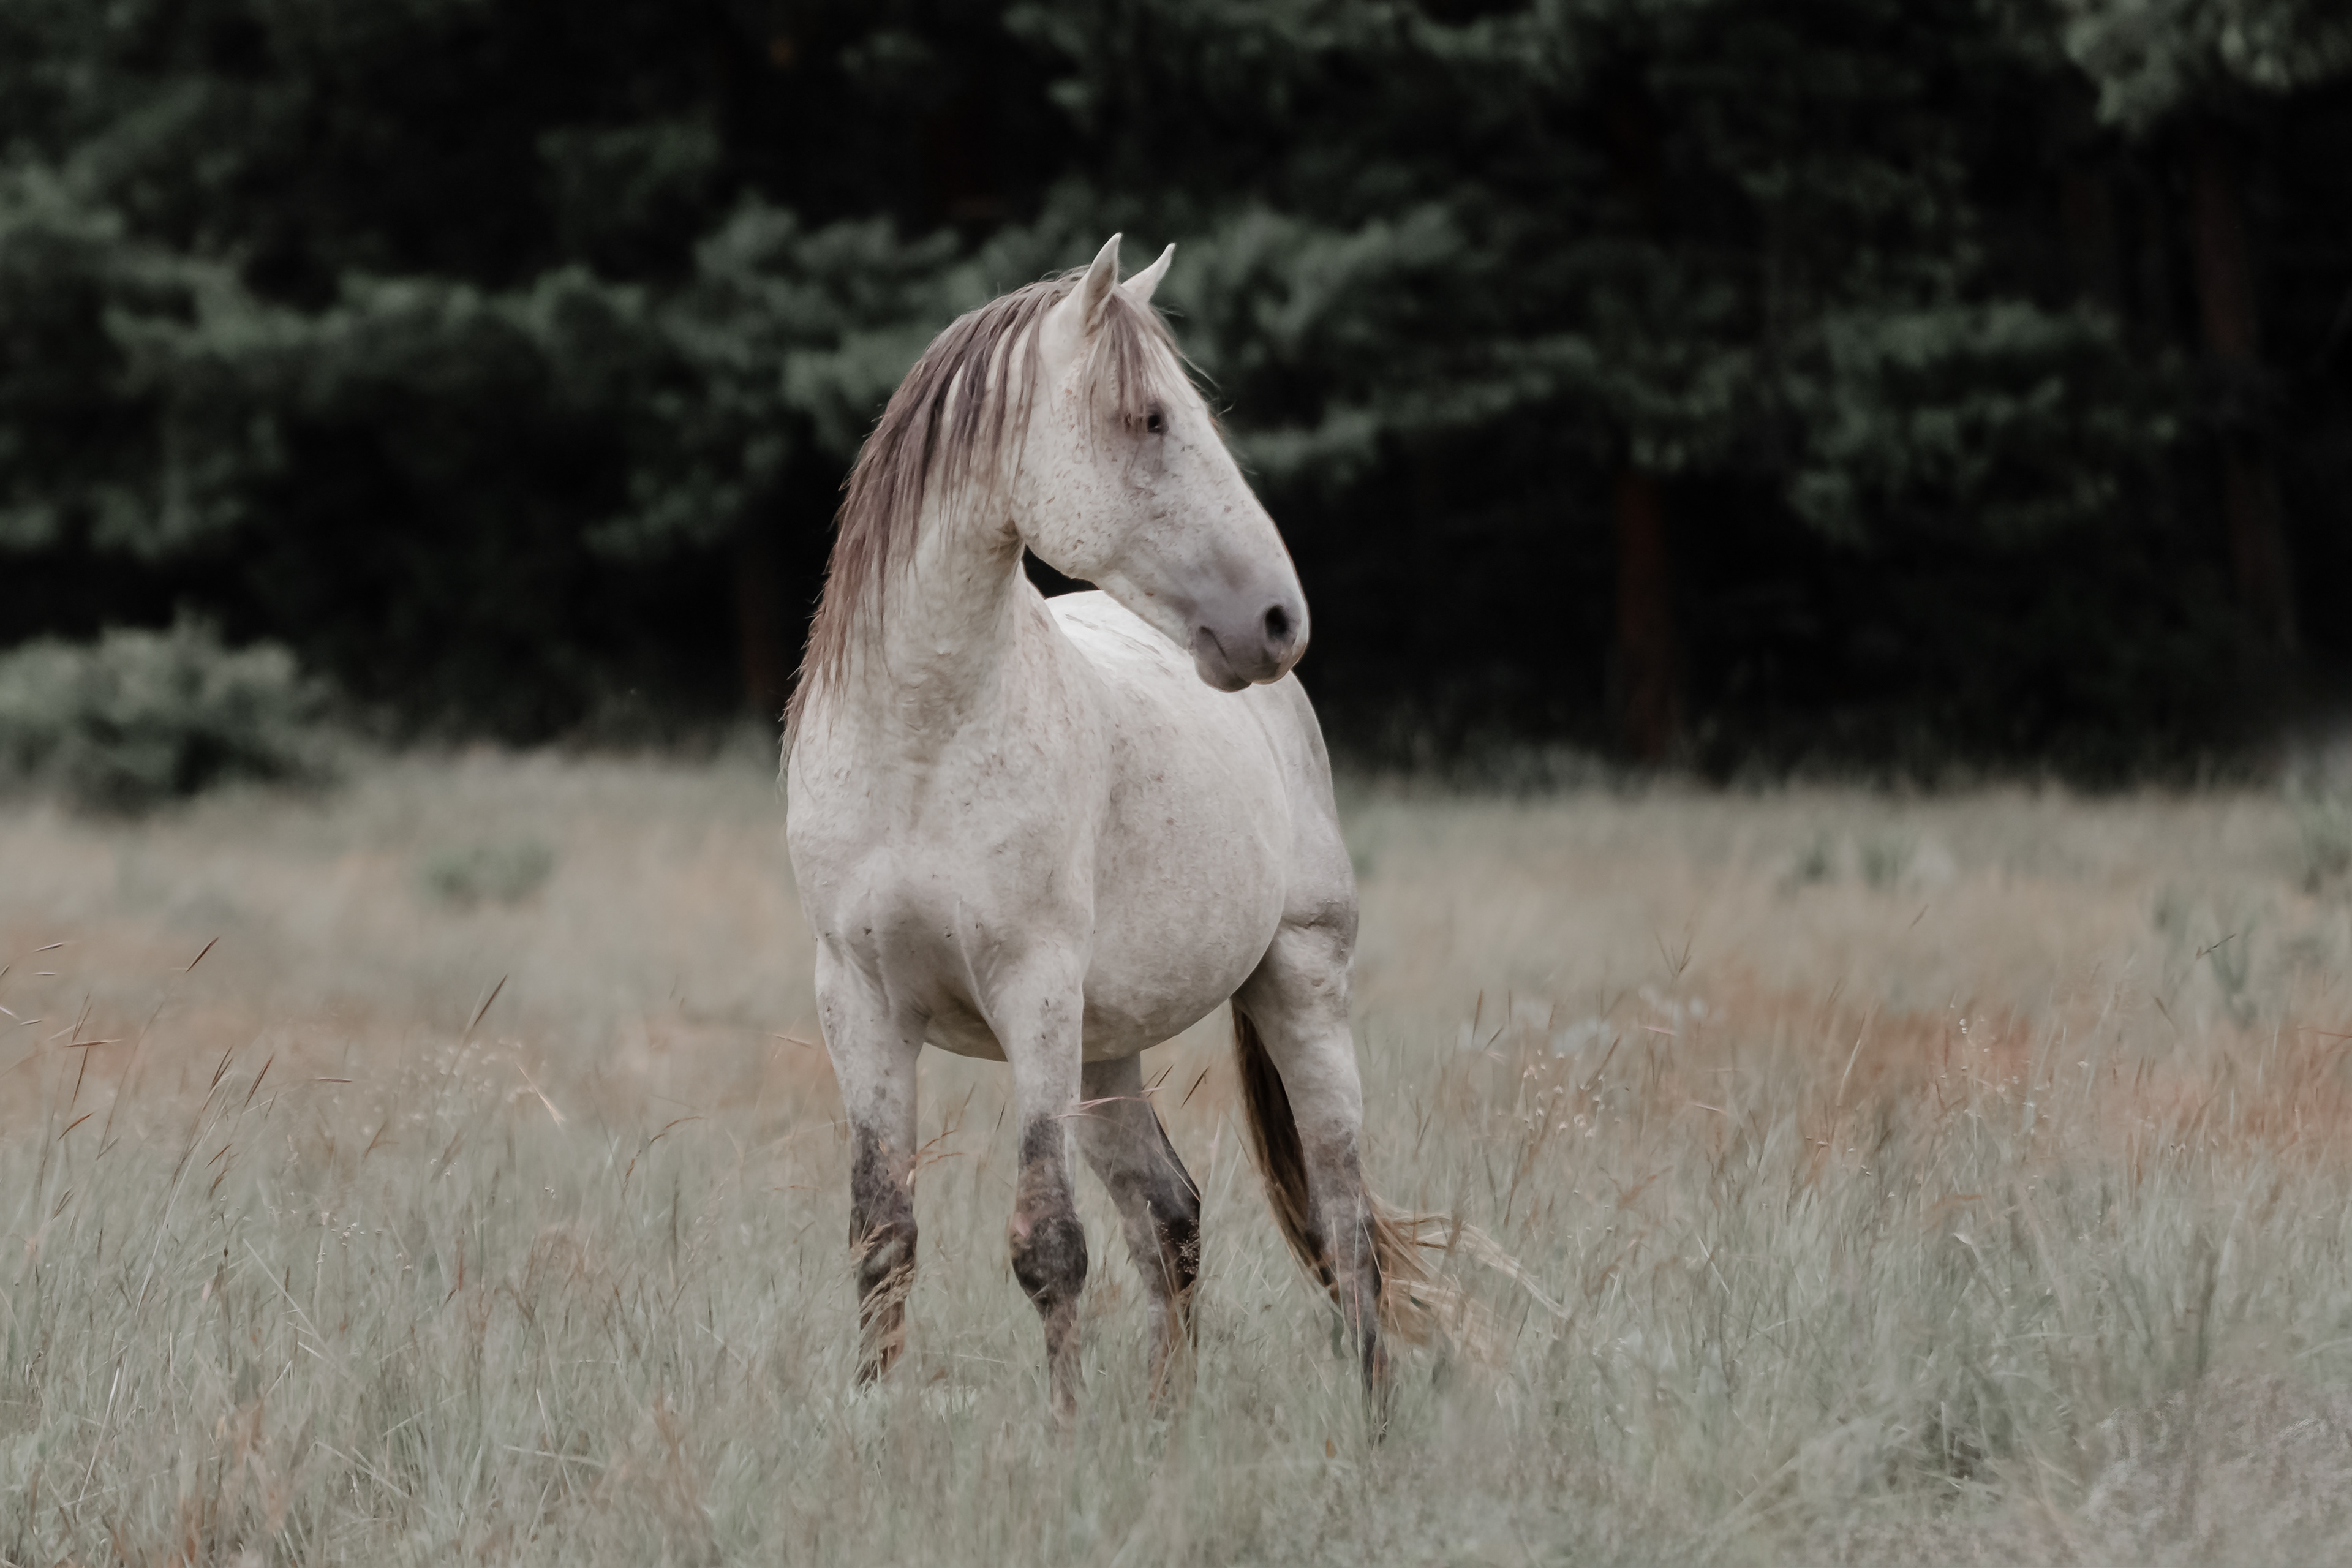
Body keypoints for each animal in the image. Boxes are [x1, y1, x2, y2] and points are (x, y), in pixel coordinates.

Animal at [783, 235, 1436, 1422]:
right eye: (1149, 420)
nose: (1279, 619)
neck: (920, 742)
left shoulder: (1032, 989)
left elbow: (1048, 1242)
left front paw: (1066, 1430)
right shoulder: (858, 1003)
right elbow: (883, 1238)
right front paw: (877, 1420)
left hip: (1299, 984)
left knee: (1344, 1218)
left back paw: (1371, 1424)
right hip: (1107, 1047)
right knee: (1171, 1216)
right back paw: (1169, 1419)